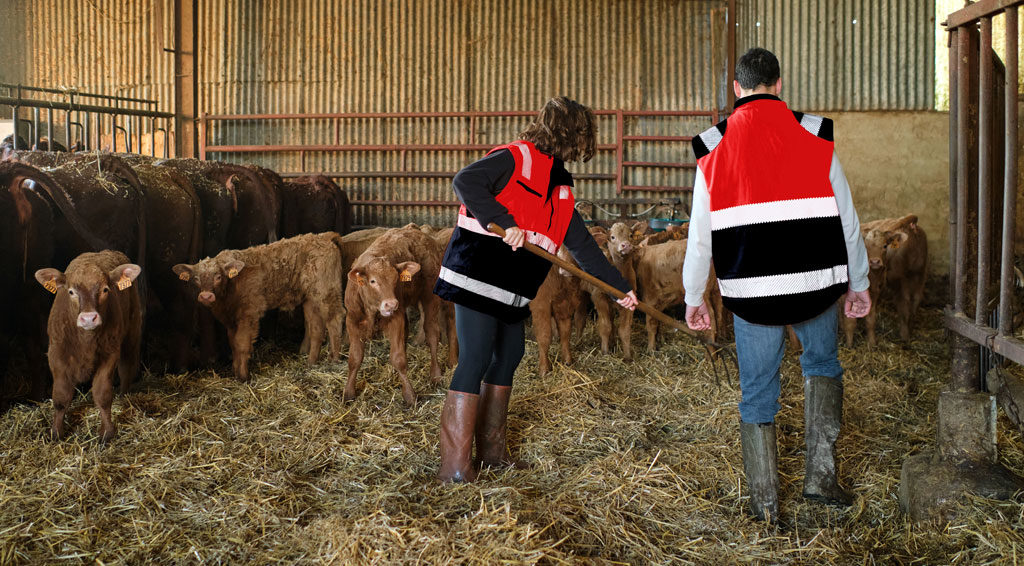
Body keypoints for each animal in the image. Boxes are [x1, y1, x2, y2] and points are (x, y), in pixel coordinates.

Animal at [34, 250, 142, 442]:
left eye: (105, 289)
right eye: (71, 291)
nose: (88, 318)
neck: (85, 341)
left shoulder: (110, 354)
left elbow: (102, 394)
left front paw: (107, 432)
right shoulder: (56, 354)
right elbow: (61, 396)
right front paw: (56, 432)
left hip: (132, 331)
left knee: (127, 367)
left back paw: (123, 396)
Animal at [175, 231, 348, 382]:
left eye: (218, 276)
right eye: (196, 278)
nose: (206, 296)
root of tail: (325, 236)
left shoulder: (249, 313)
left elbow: (242, 343)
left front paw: (243, 376)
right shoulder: (231, 320)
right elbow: (233, 344)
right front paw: (235, 371)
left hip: (326, 291)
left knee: (335, 319)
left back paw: (334, 360)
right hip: (311, 298)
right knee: (316, 328)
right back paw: (311, 363)